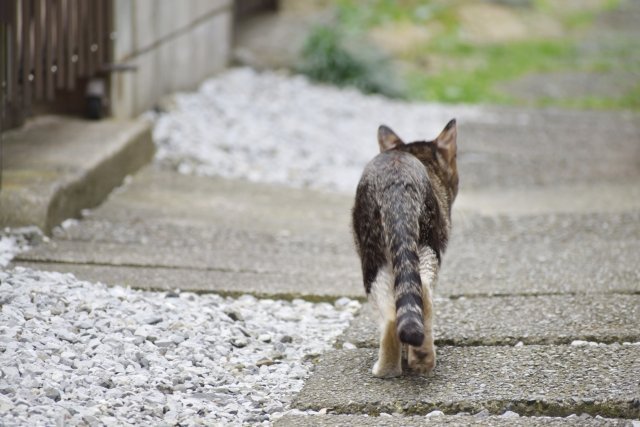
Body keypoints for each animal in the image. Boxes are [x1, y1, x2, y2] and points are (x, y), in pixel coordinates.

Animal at [352, 119, 458, 378]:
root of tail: (396, 182)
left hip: (374, 259)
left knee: (395, 312)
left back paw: (388, 368)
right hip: (424, 248)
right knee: (420, 291)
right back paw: (421, 358)